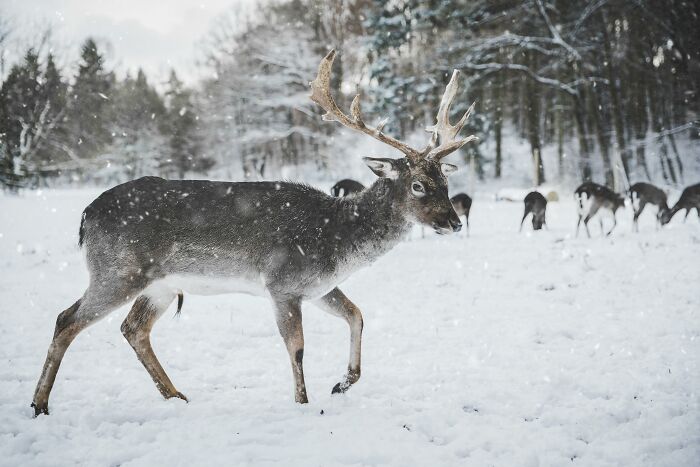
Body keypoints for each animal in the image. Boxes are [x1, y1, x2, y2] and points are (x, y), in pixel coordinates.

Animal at [31, 50, 476, 417]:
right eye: (417, 184)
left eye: (444, 180)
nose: (453, 222)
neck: (337, 240)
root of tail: (86, 216)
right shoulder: (282, 282)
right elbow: (297, 348)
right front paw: (303, 403)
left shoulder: (318, 286)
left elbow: (357, 315)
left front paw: (342, 383)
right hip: (118, 270)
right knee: (66, 319)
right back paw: (40, 404)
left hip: (158, 284)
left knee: (133, 329)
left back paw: (176, 396)